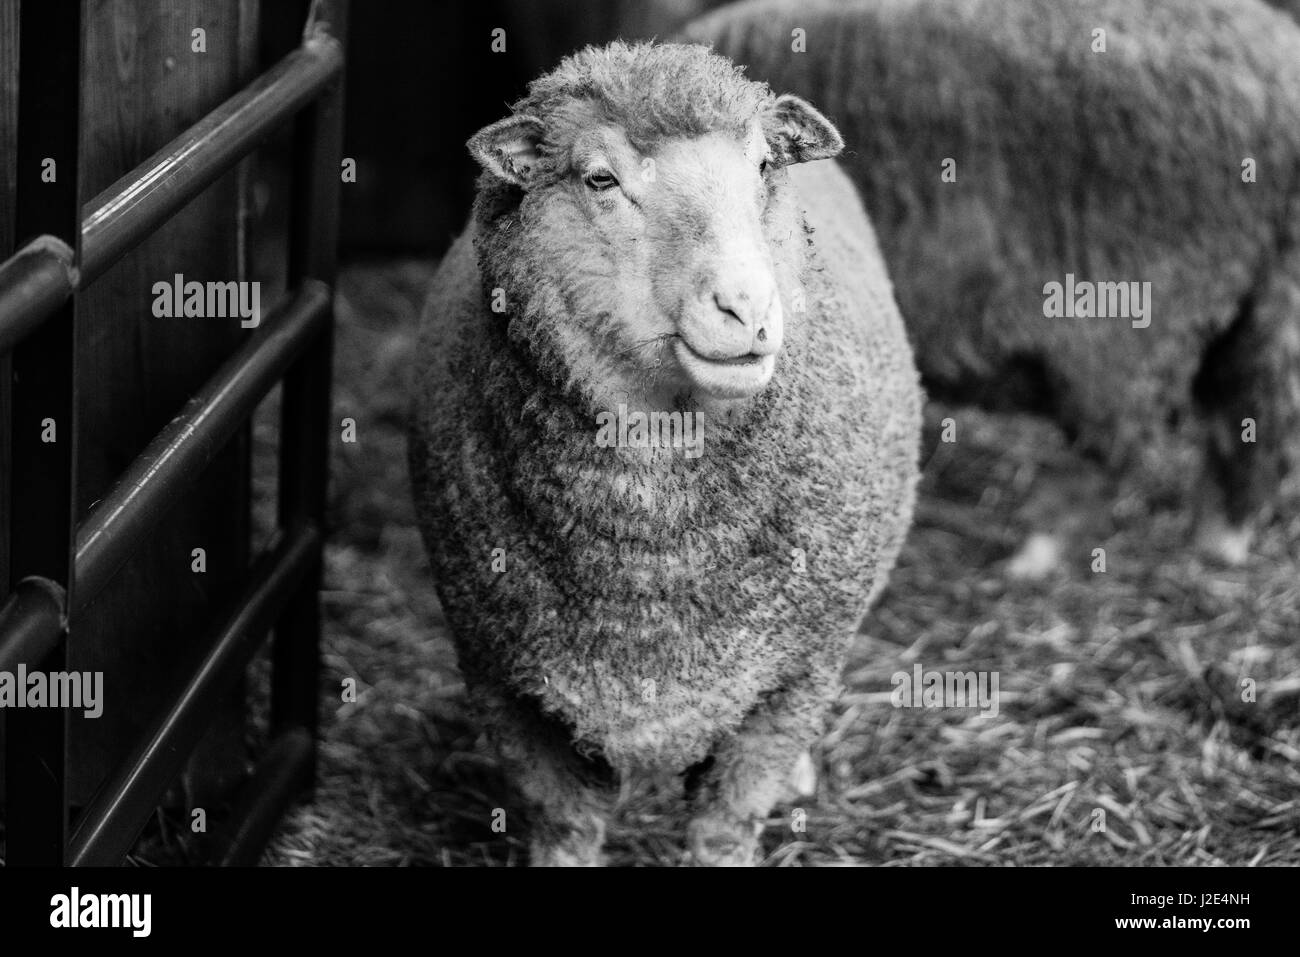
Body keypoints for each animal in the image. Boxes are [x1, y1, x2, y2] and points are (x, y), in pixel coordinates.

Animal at [410, 39, 920, 868]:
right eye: (600, 178)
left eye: (762, 166)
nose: (747, 308)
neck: (650, 561)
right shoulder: (502, 676)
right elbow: (565, 825)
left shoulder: (792, 676)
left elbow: (725, 824)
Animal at [681, 0, 1300, 566]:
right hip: (1257, 304)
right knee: (1250, 415)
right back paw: (1217, 540)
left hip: (1133, 312)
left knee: (1121, 439)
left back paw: (1036, 548)